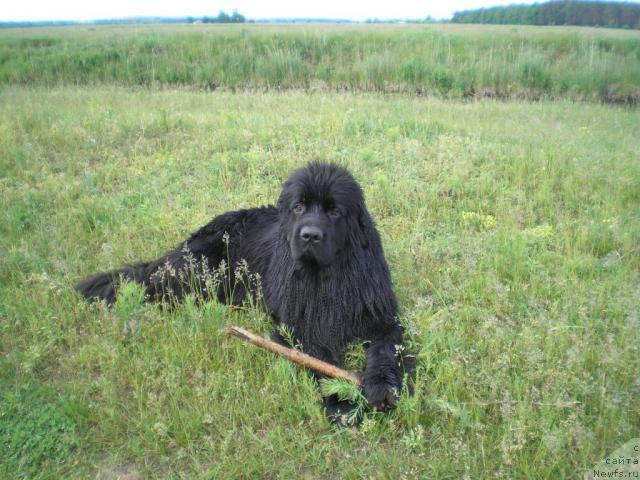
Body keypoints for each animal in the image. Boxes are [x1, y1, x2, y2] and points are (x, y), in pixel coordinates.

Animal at [76, 162, 410, 420]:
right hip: (198, 270)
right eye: (299, 207)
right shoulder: (297, 327)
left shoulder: (382, 318)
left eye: (334, 211)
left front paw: (382, 387)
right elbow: (319, 359)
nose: (310, 235)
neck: (326, 277)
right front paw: (341, 402)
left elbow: (385, 349)